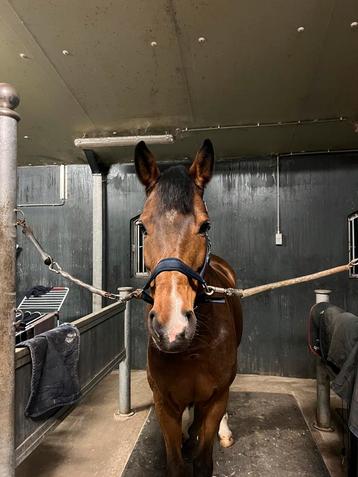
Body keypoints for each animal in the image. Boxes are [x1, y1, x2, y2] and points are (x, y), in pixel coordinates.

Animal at [134, 139, 243, 476]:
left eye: (205, 226)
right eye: (143, 228)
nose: (172, 329)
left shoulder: (215, 400)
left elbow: (203, 460)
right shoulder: (164, 405)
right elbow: (176, 463)